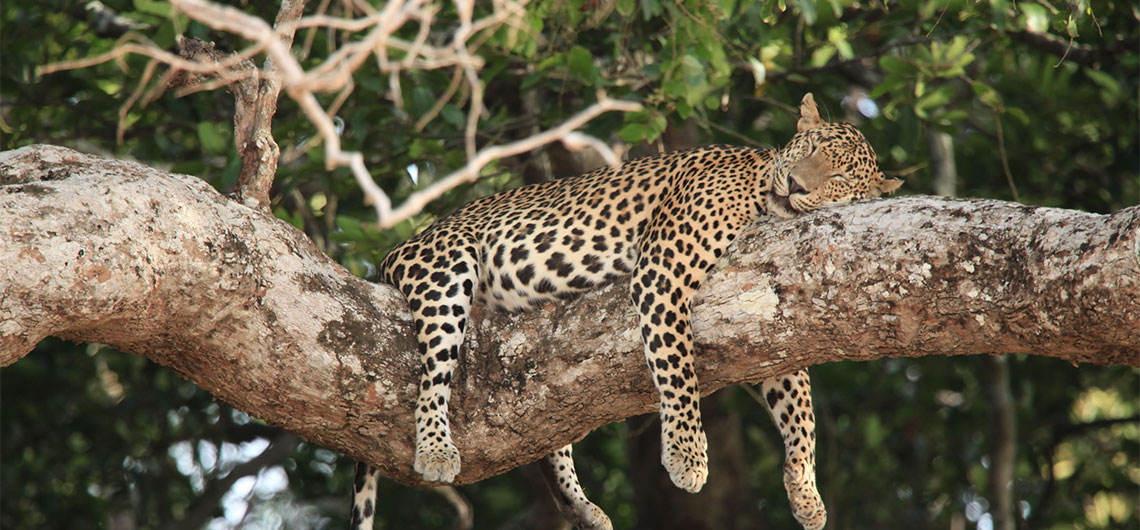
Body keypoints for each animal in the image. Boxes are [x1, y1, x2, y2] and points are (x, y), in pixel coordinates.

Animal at [350, 93, 902, 530]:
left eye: (838, 176)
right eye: (810, 150)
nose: (797, 185)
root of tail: (395, 251)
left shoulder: (774, 328)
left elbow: (800, 413)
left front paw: (806, 494)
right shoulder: (663, 270)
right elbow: (679, 370)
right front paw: (686, 455)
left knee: (550, 435)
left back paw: (583, 509)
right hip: (446, 268)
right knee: (431, 377)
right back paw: (435, 450)